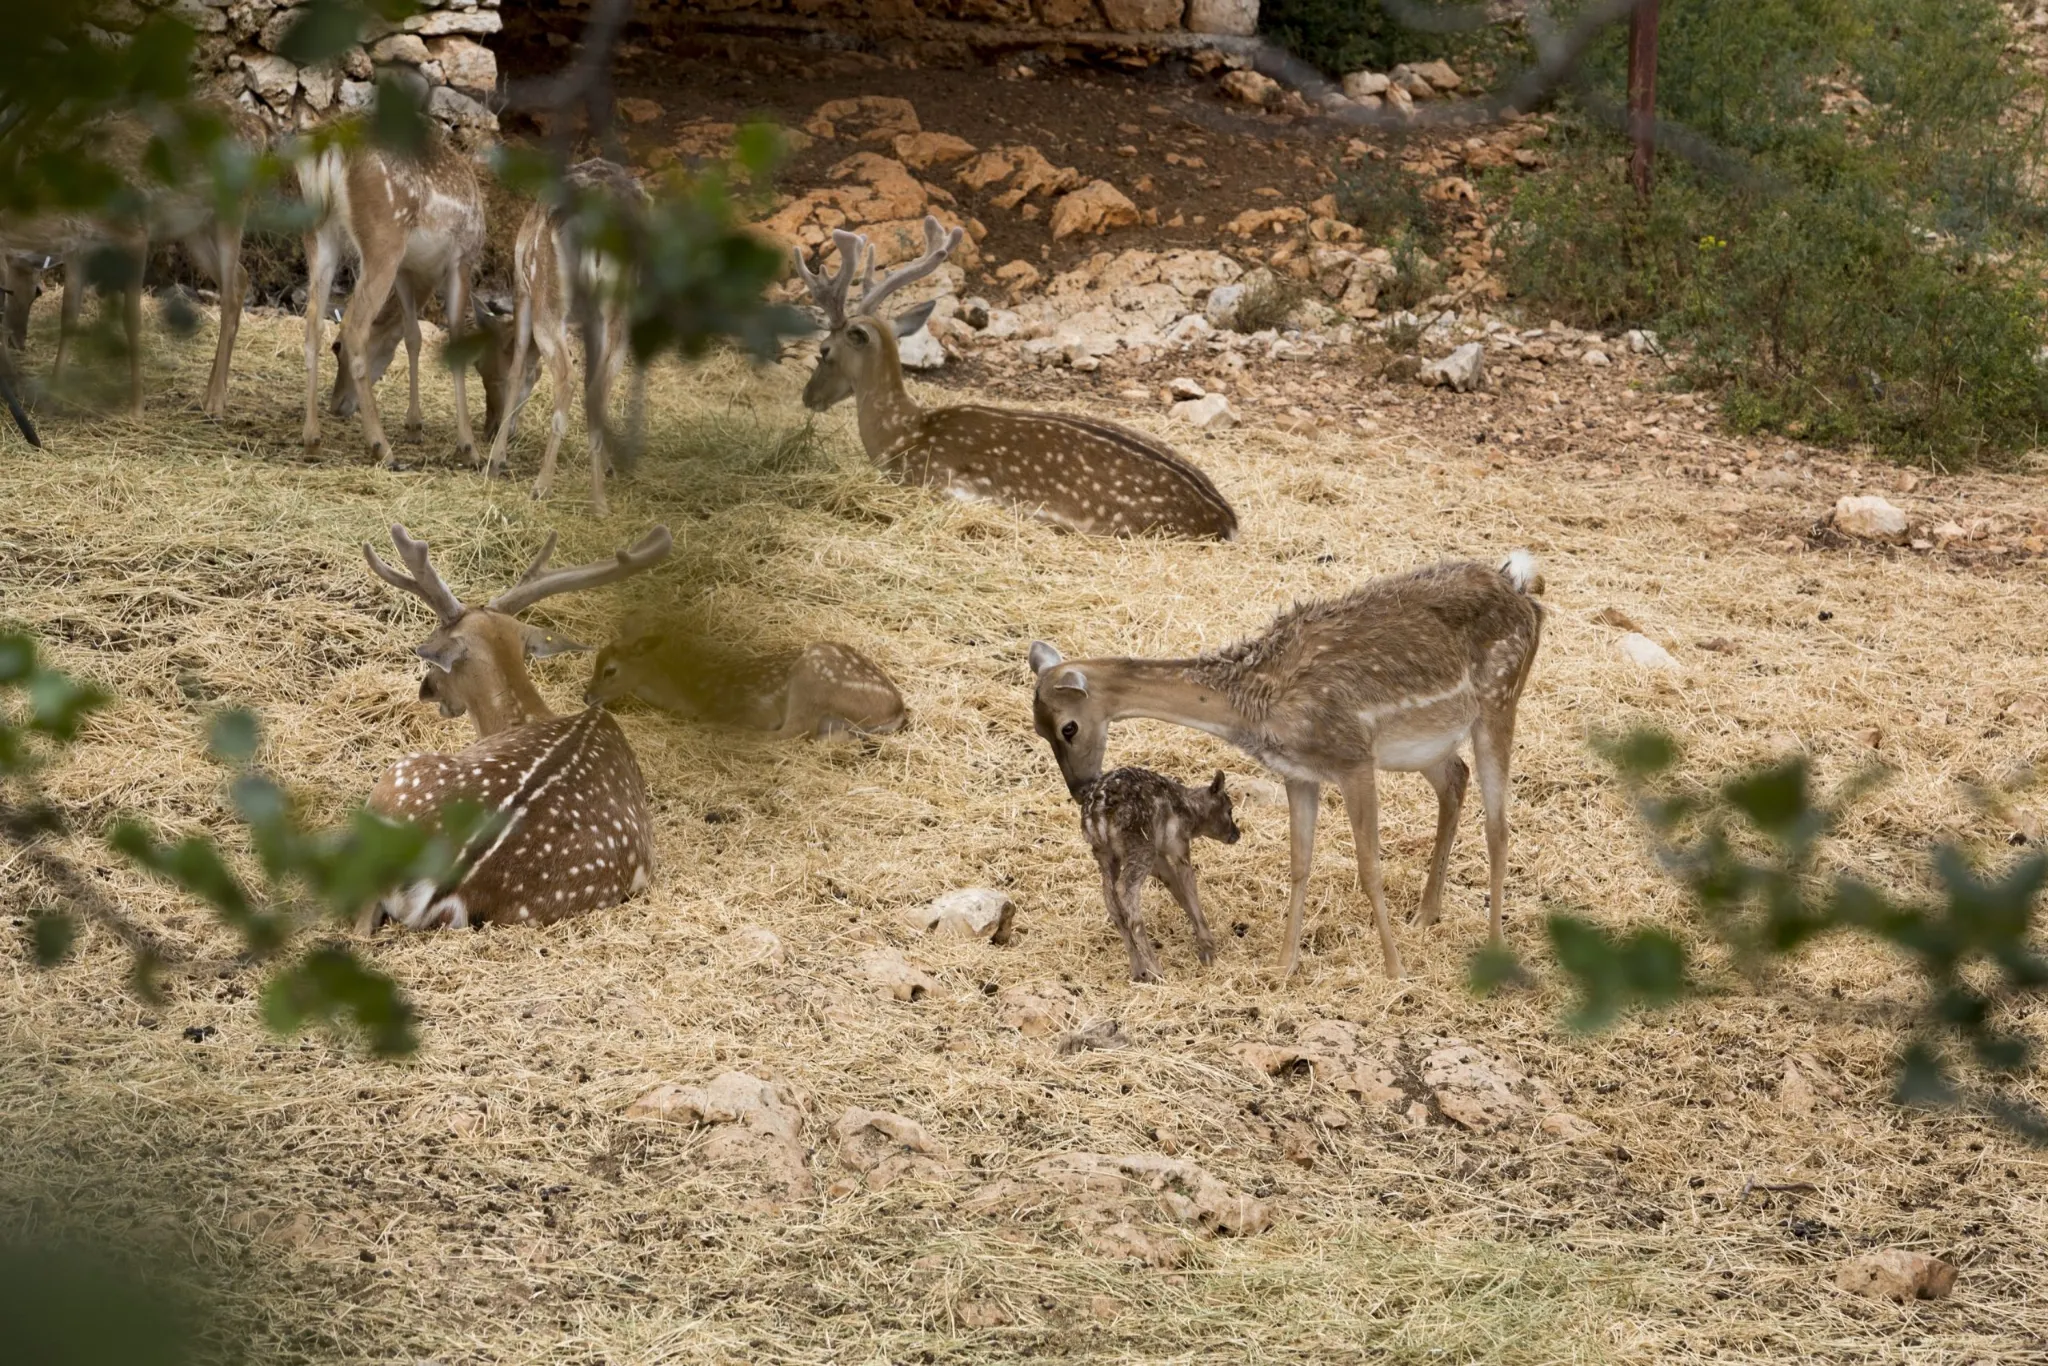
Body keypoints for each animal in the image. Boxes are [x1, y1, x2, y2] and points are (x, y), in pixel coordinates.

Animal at [299, 131, 484, 466]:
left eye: (335, 349)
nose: (337, 406)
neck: (426, 276)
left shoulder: (406, 271)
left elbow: (412, 336)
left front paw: (414, 426)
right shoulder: (462, 259)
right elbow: (454, 340)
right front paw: (469, 447)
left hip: (318, 230)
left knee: (313, 324)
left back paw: (312, 440)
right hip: (383, 238)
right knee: (355, 326)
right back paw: (381, 447)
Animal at [476, 158, 646, 517]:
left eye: (484, 369)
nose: (489, 428)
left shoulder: (523, 292)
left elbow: (518, 369)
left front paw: (496, 459)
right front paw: (607, 466)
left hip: (547, 298)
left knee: (567, 376)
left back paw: (541, 486)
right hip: (619, 309)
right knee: (598, 384)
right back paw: (600, 502)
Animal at [584, 627, 907, 739]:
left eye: (609, 671)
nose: (587, 696)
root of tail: (897, 708)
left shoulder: (754, 707)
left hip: (813, 678)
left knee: (791, 731)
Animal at [1079, 767, 1241, 983]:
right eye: (1229, 809)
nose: (1237, 834)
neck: (1190, 815)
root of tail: (1096, 820)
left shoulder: (1159, 857)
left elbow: (1177, 890)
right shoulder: (1178, 846)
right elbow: (1190, 889)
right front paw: (1208, 949)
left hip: (1104, 855)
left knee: (1112, 901)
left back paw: (1138, 969)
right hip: (1140, 846)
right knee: (1125, 889)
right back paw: (1156, 970)